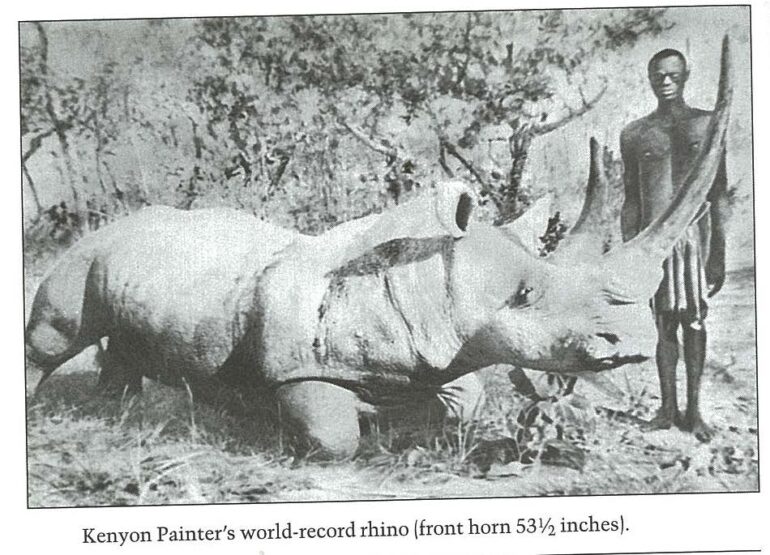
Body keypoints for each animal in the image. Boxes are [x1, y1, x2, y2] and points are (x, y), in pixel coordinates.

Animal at [26, 38, 732, 458]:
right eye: (526, 295)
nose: (629, 343)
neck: (429, 273)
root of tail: (115, 223)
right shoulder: (298, 365)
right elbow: (334, 436)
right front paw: (285, 424)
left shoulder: (448, 349)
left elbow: (464, 403)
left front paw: (414, 426)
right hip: (83, 249)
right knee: (55, 336)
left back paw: (118, 408)